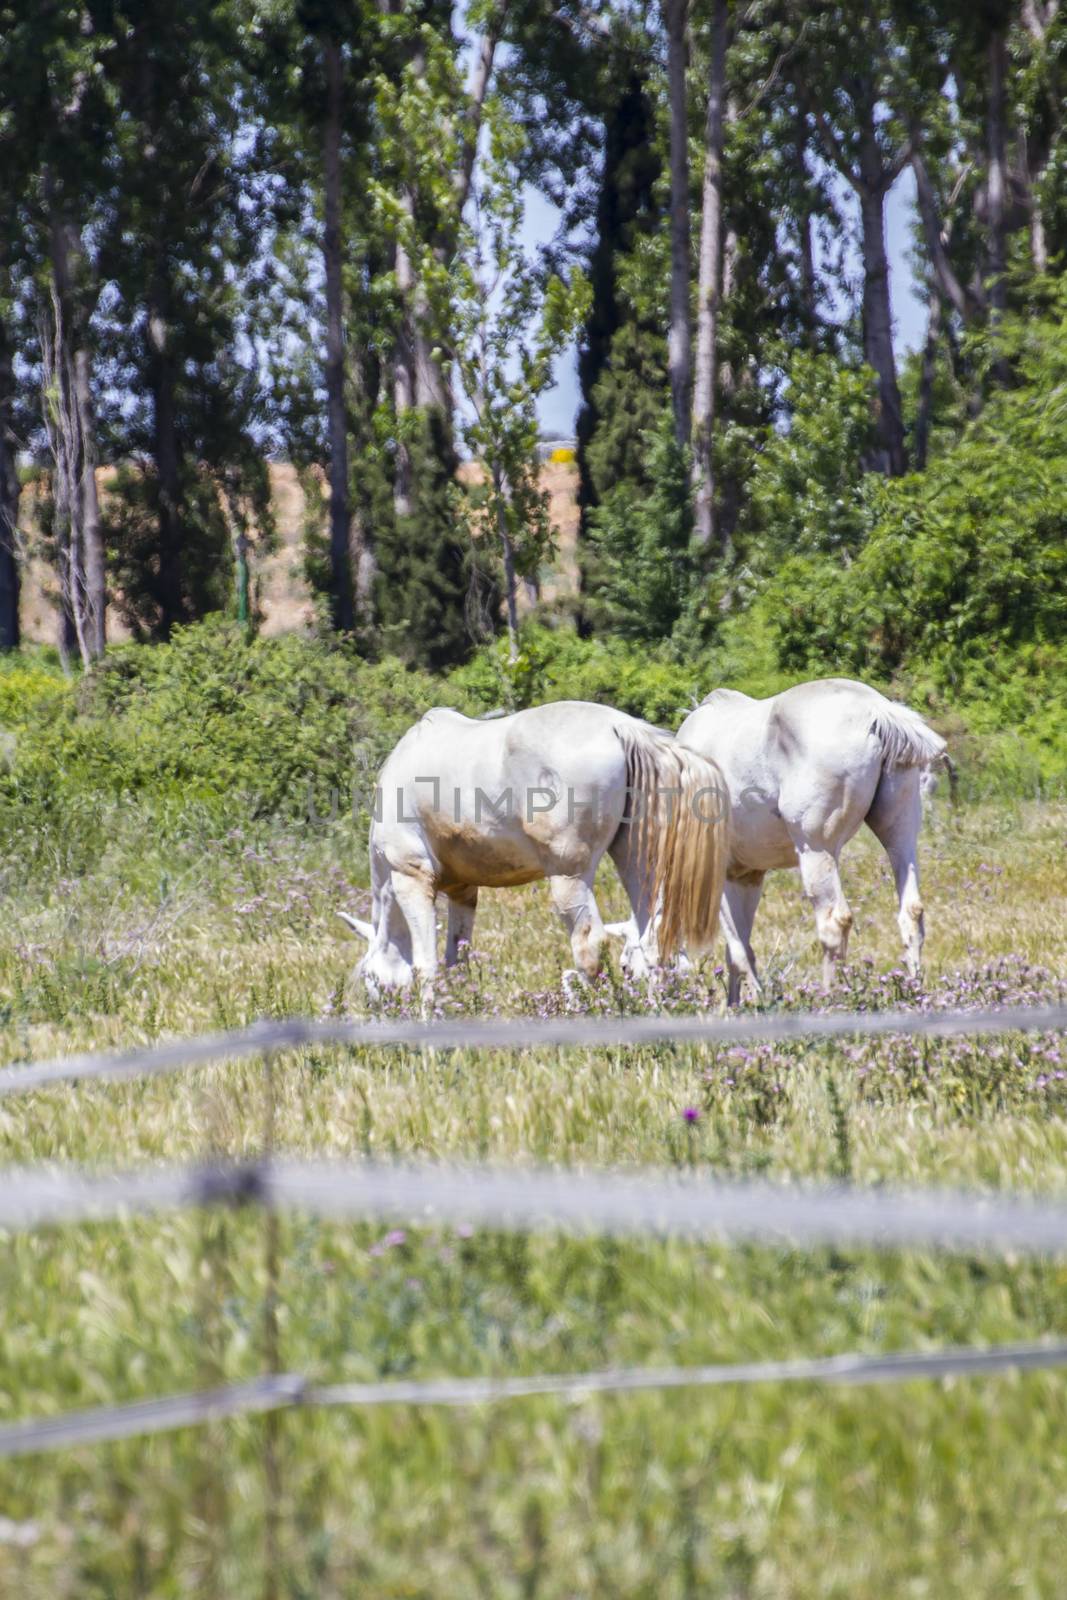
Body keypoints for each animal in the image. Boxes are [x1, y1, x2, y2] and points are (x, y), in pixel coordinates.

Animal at [337, 697, 729, 985]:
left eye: (370, 978)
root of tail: (620, 727)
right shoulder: (463, 892)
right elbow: (456, 961)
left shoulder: (411, 879)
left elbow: (426, 966)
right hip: (636, 862)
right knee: (650, 942)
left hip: (568, 878)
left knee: (589, 946)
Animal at [675, 675, 953, 998]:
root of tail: (878, 711)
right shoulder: (746, 877)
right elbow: (739, 950)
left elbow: (738, 951)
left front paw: (758, 1001)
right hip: (900, 835)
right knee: (911, 912)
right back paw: (914, 990)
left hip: (816, 851)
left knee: (835, 922)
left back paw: (830, 997)